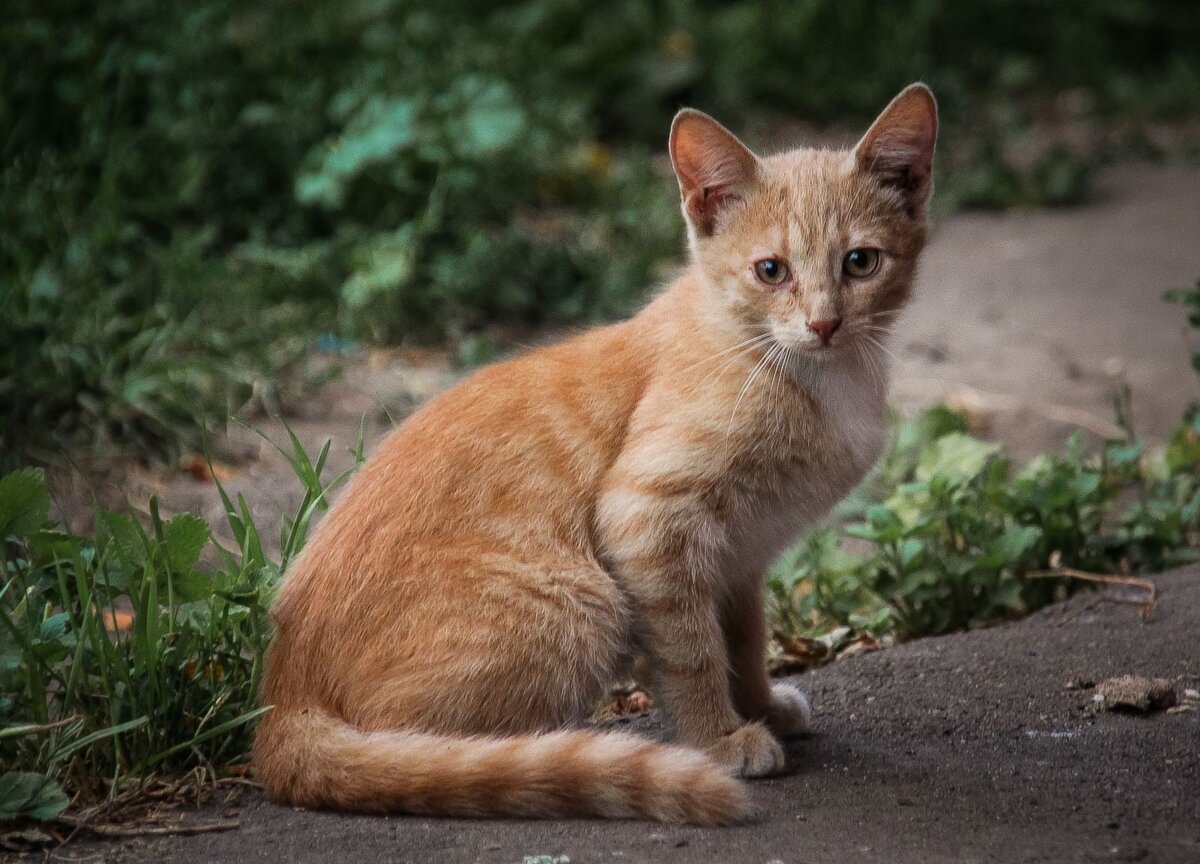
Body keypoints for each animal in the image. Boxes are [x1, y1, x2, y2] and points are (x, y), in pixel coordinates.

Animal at [255, 84, 936, 825]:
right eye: (771, 270)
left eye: (860, 262)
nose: (824, 322)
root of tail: (283, 693)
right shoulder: (647, 517)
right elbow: (692, 652)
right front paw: (718, 738)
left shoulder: (740, 558)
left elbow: (745, 639)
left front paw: (758, 704)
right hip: (582, 604)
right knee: (414, 745)